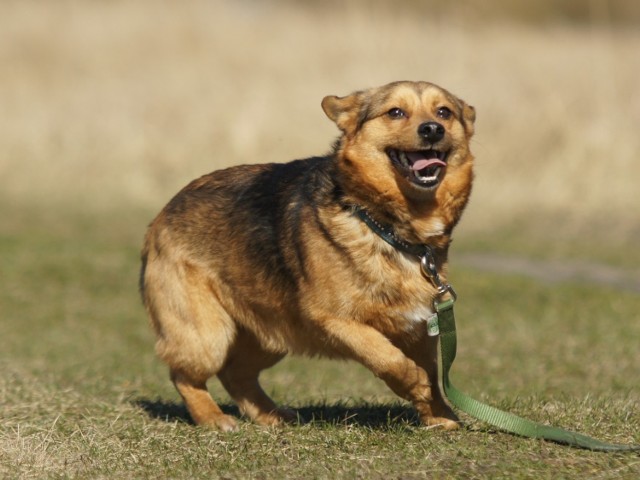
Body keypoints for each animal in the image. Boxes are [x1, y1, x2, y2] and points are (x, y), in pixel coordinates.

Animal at [139, 80, 476, 434]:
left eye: (444, 112)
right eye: (396, 112)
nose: (432, 129)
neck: (384, 226)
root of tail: (160, 216)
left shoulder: (417, 328)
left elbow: (434, 376)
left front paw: (440, 416)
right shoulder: (335, 319)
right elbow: (388, 357)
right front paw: (414, 383)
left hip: (270, 334)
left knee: (236, 373)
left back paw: (270, 414)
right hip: (209, 336)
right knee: (184, 375)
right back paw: (213, 418)